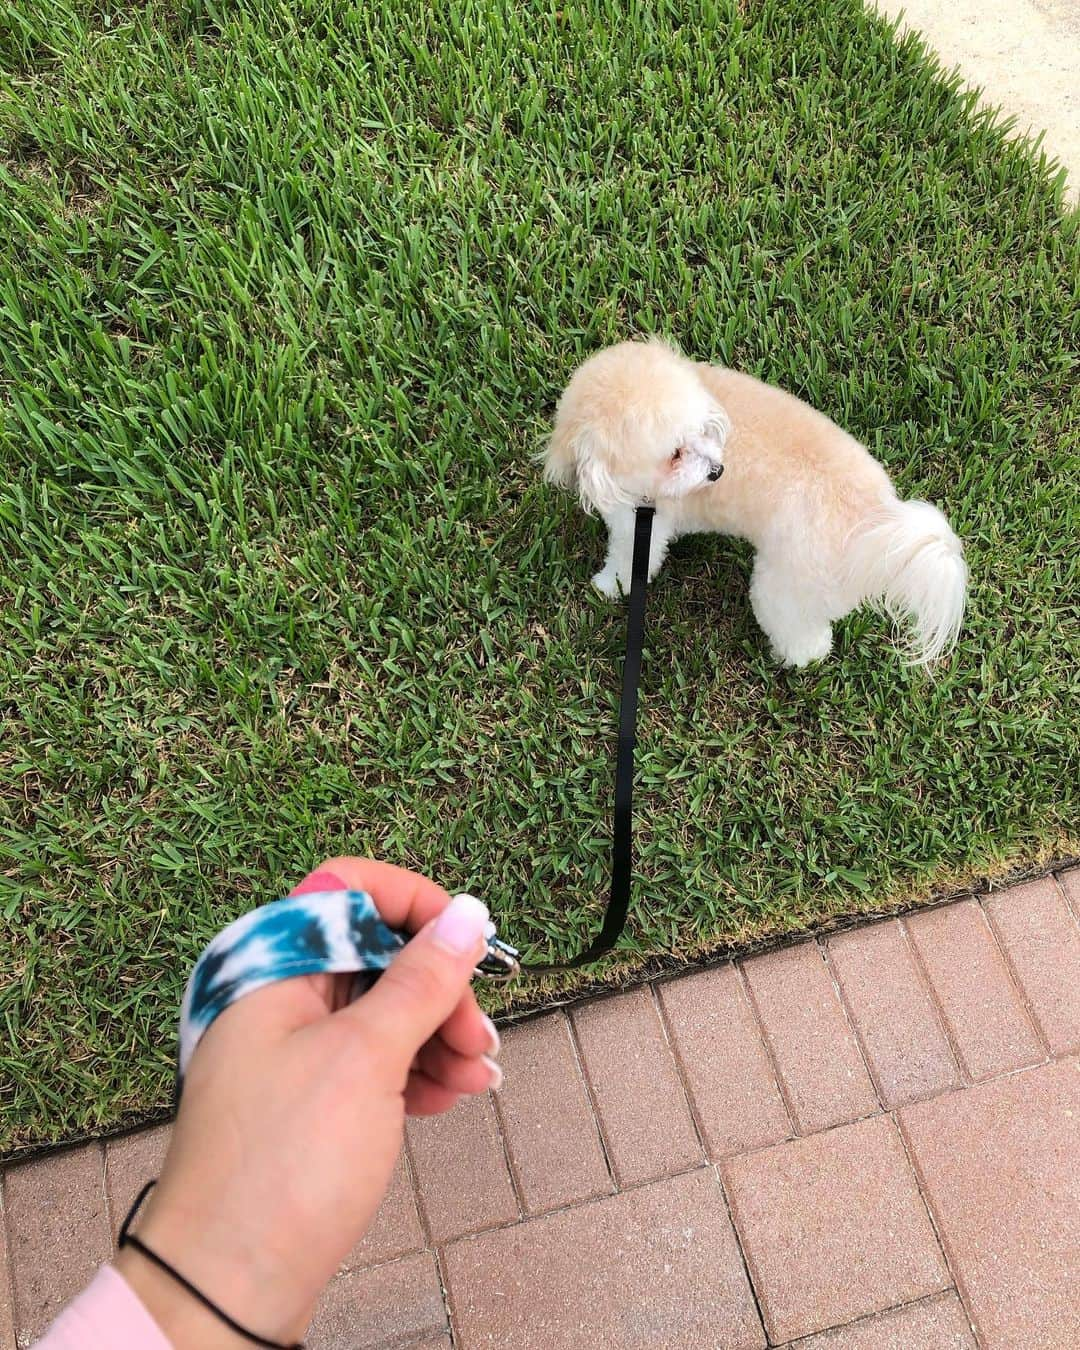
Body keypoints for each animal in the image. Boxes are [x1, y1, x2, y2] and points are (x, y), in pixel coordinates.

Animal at [545, 340, 966, 666]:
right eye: (676, 453)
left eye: (701, 431)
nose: (718, 471)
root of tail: (877, 519)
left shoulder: (641, 525)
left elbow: (629, 562)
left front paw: (608, 586)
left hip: (786, 588)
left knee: (804, 638)